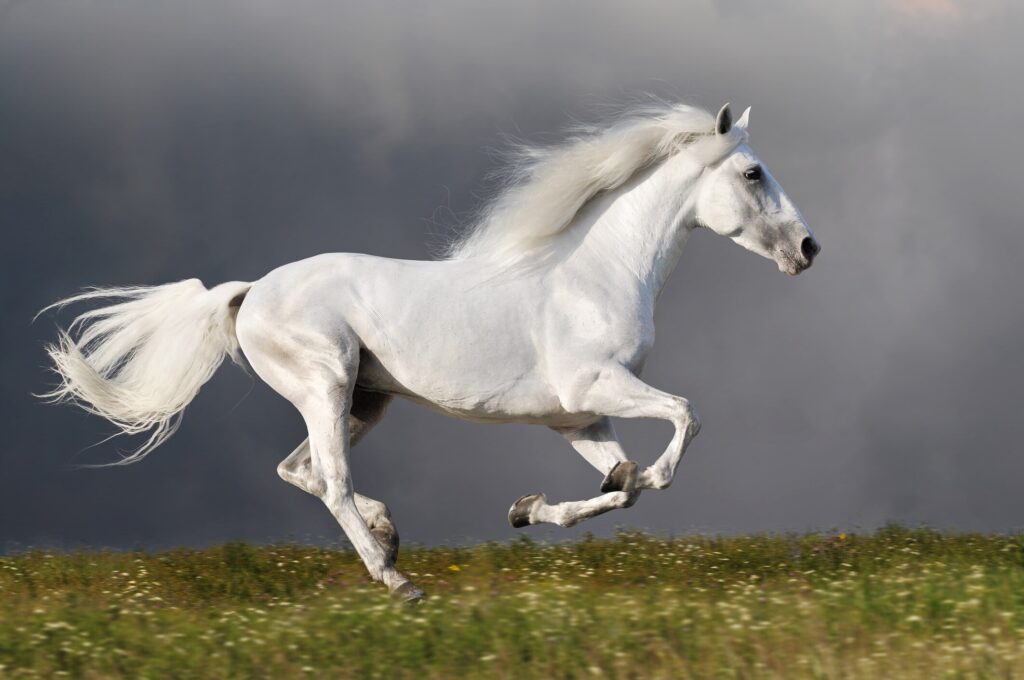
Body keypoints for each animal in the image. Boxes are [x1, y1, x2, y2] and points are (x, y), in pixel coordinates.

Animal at [40, 102, 820, 601]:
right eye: (753, 174)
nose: (809, 248)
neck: (594, 272)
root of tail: (251, 291)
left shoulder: (576, 417)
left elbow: (619, 487)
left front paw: (529, 510)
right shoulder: (596, 387)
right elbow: (683, 420)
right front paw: (642, 475)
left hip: (364, 401)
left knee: (301, 470)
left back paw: (388, 535)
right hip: (326, 386)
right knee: (330, 479)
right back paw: (396, 579)